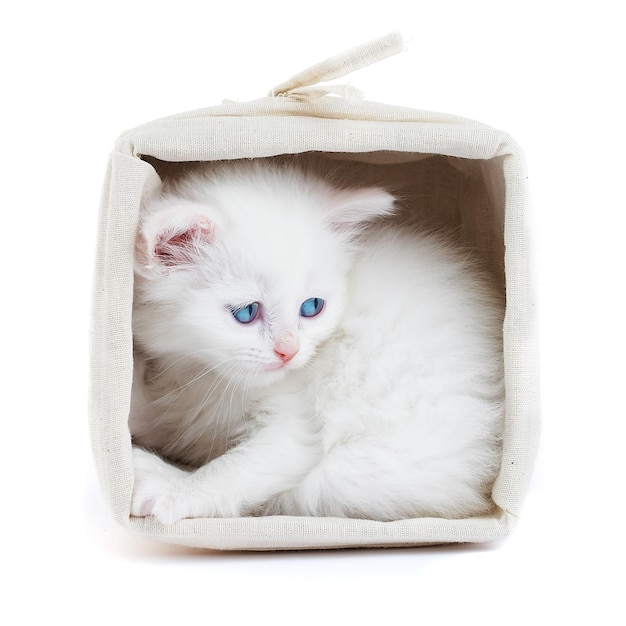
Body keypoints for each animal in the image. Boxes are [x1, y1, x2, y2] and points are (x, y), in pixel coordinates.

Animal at [128, 161, 502, 520]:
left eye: (311, 307)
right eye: (247, 312)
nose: (289, 351)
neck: (209, 374)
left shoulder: (295, 428)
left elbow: (235, 467)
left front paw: (174, 491)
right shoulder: (181, 399)